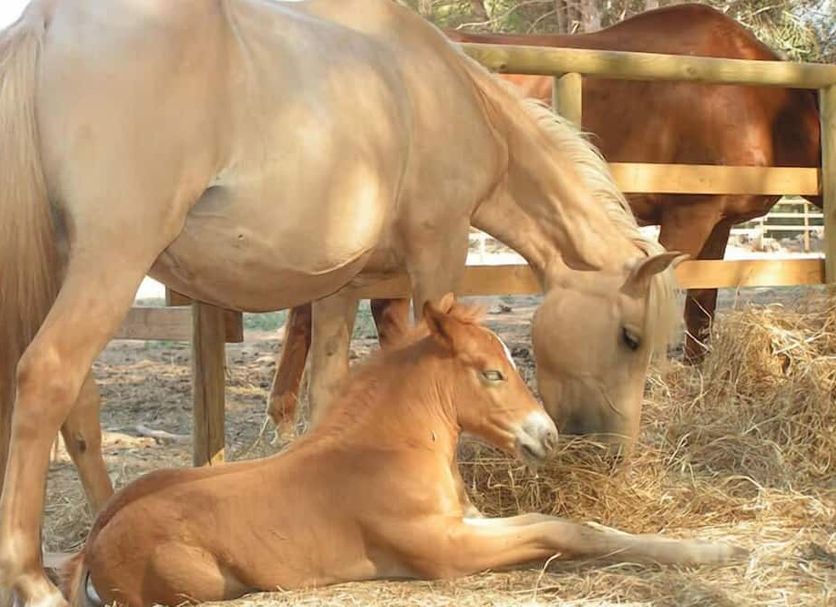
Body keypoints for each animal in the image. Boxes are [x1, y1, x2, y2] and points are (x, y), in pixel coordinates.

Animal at [0, 0, 678, 603]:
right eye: (630, 338)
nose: (610, 457)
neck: (443, 92)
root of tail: (47, 21)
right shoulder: (438, 250)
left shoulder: (340, 286)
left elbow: (328, 387)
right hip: (114, 257)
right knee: (46, 376)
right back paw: (31, 578)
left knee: (79, 406)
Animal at [55, 297, 743, 607]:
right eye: (490, 373)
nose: (546, 435)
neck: (389, 450)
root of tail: (93, 541)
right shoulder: (445, 550)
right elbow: (565, 531)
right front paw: (714, 553)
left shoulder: (466, 523)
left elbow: (572, 523)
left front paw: (715, 549)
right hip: (195, 583)